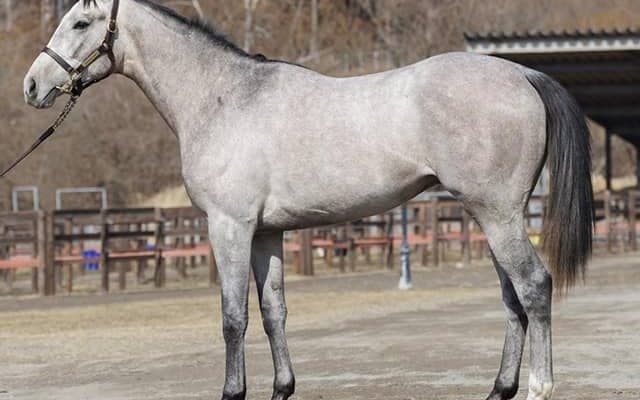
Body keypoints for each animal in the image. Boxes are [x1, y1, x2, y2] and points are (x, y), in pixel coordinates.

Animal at [22, 1, 593, 399]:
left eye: (80, 23)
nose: (32, 85)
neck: (224, 98)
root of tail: (523, 73)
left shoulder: (228, 227)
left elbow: (233, 316)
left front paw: (233, 391)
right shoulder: (267, 233)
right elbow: (273, 311)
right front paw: (282, 388)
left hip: (500, 216)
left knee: (534, 286)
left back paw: (540, 387)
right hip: (492, 216)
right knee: (512, 298)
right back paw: (499, 389)